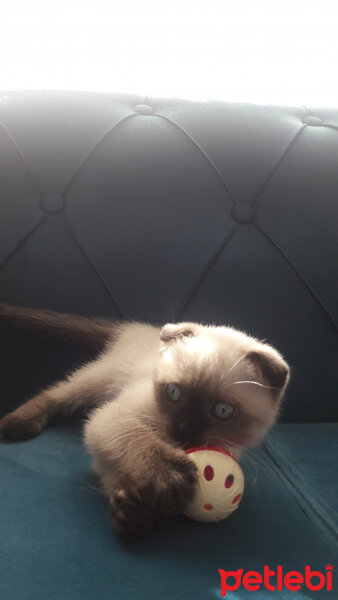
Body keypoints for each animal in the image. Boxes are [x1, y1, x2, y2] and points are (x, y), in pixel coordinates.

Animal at [0, 308, 290, 536]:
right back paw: (17, 423)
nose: (184, 430)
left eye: (222, 410)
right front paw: (161, 477)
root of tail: (137, 327)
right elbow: (133, 441)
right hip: (99, 379)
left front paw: (131, 511)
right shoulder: (111, 417)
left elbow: (109, 468)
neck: (172, 441)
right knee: (59, 392)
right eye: (174, 393)